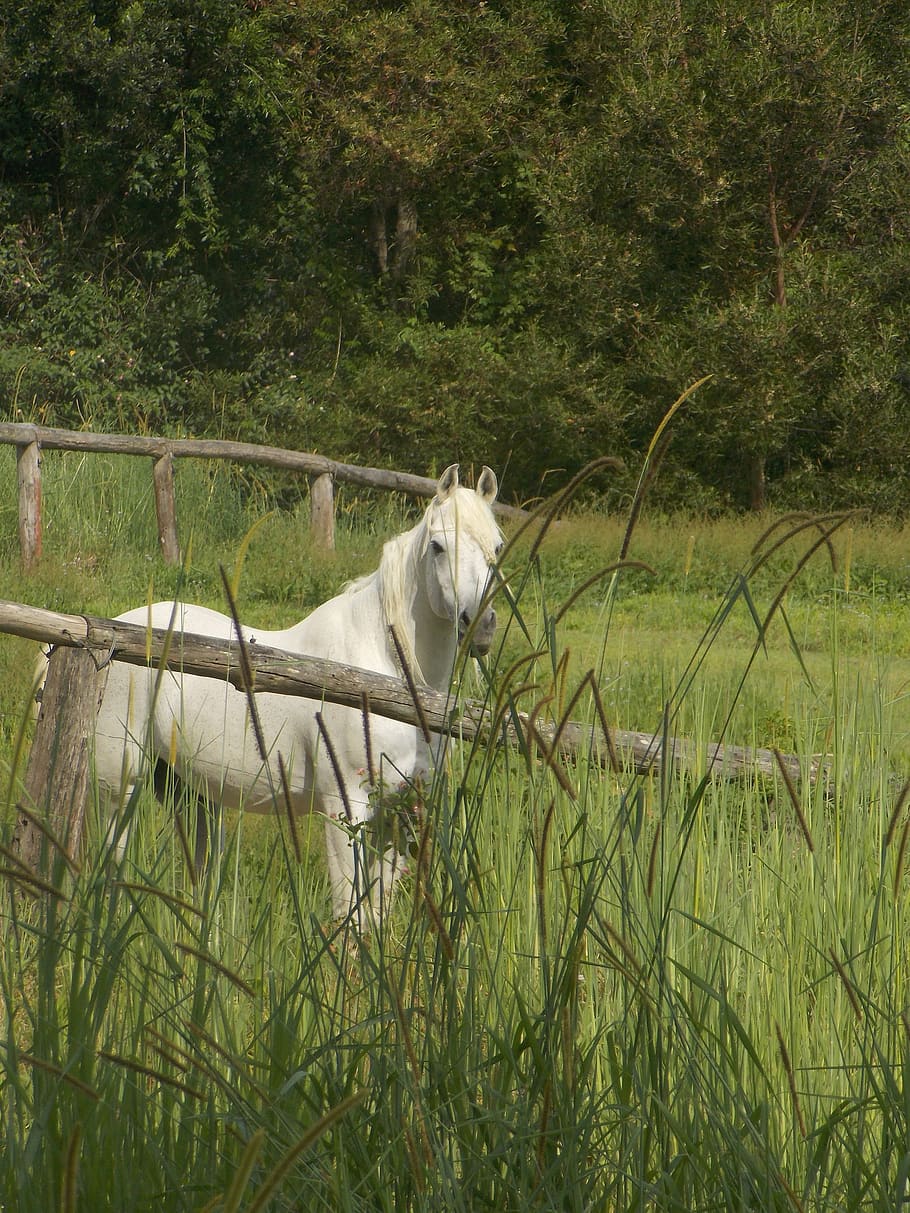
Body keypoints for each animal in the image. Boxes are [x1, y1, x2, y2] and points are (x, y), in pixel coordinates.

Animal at [90, 463, 503, 922]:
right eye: (437, 546)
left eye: (497, 548)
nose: (480, 625)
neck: (384, 675)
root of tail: (116, 632)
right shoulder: (345, 807)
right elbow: (350, 913)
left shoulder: (398, 812)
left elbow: (376, 913)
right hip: (119, 782)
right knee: (112, 856)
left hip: (187, 790)